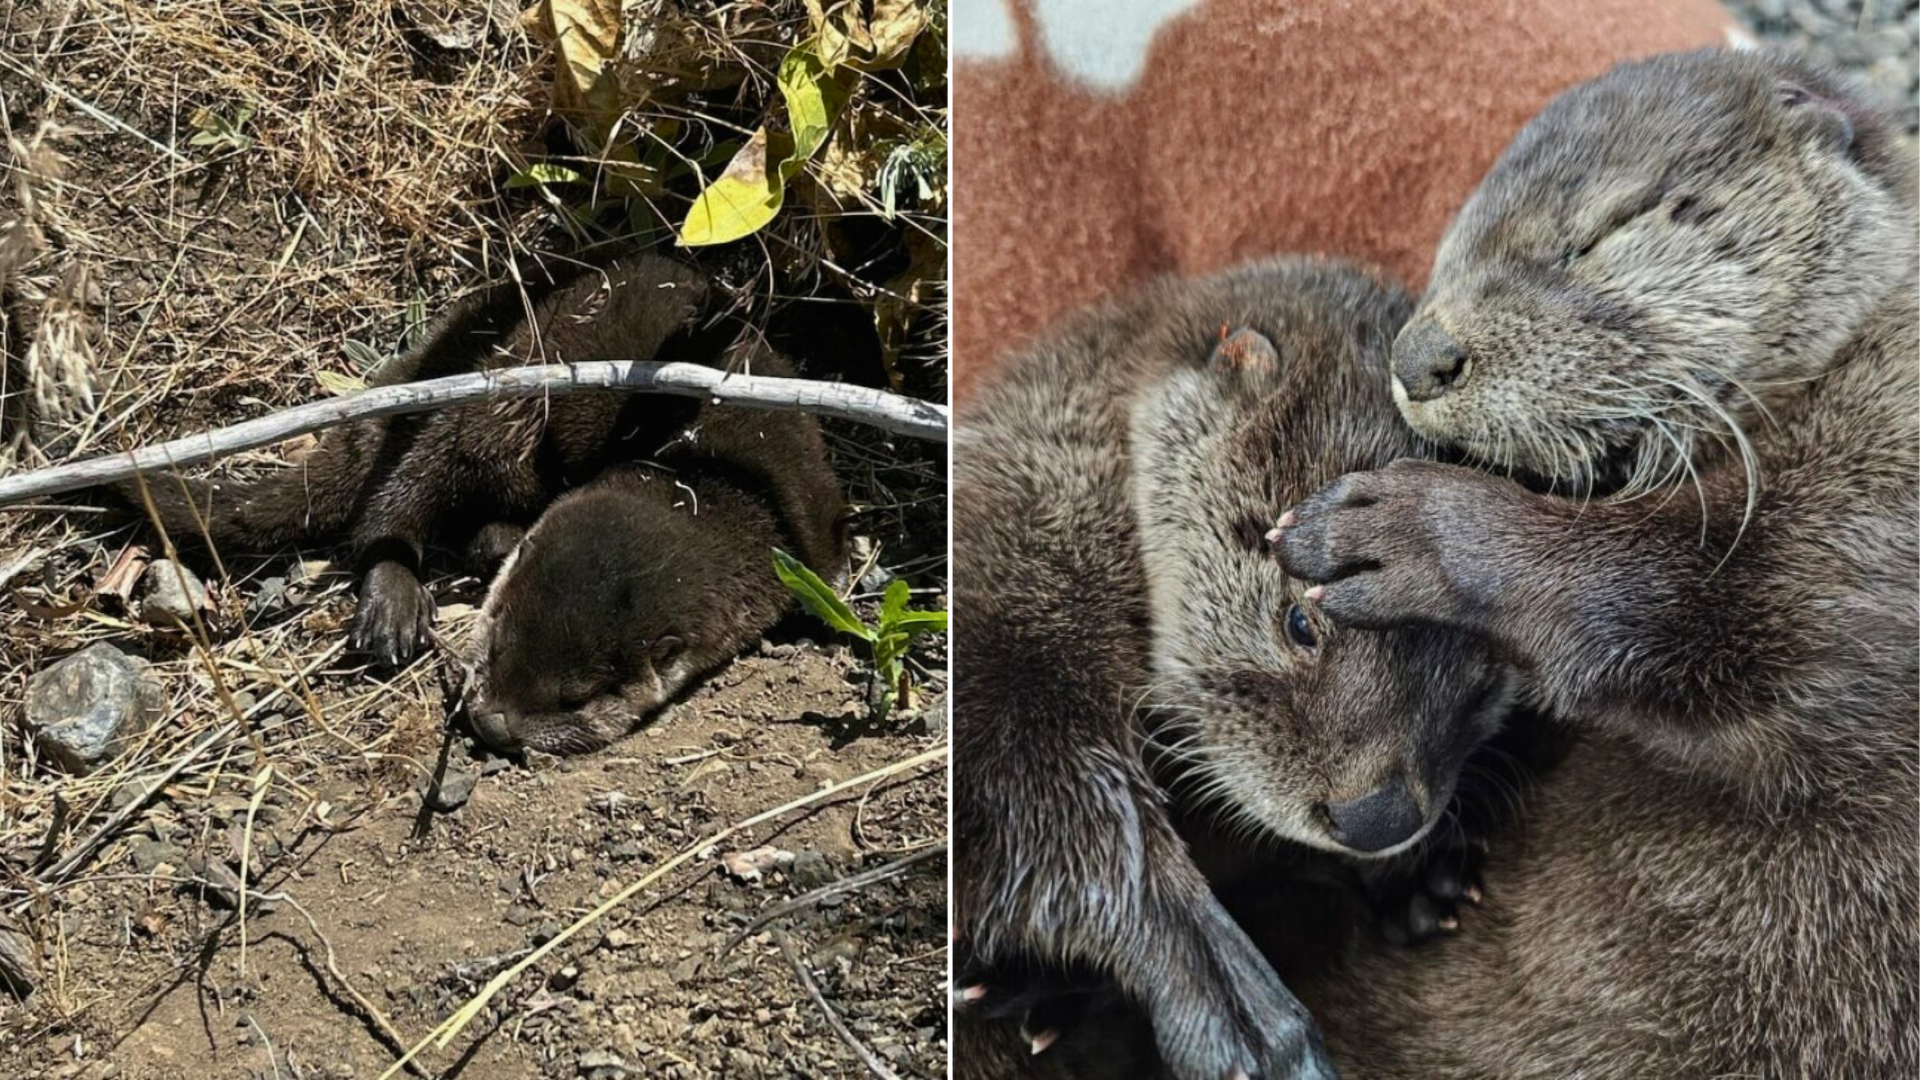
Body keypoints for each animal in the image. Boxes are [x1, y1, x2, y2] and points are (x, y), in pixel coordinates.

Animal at [952, 259, 1514, 1080]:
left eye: (1484, 682)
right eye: (1301, 622)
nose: (1379, 819)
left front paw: (1422, 879)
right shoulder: (1011, 619)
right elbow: (1069, 818)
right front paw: (1245, 1022)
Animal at [1274, 50, 1918, 1076]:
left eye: (1596, 237)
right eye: (1443, 260)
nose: (1419, 354)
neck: (1869, 349)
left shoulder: (1870, 510)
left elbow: (1691, 596)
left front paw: (1397, 528)